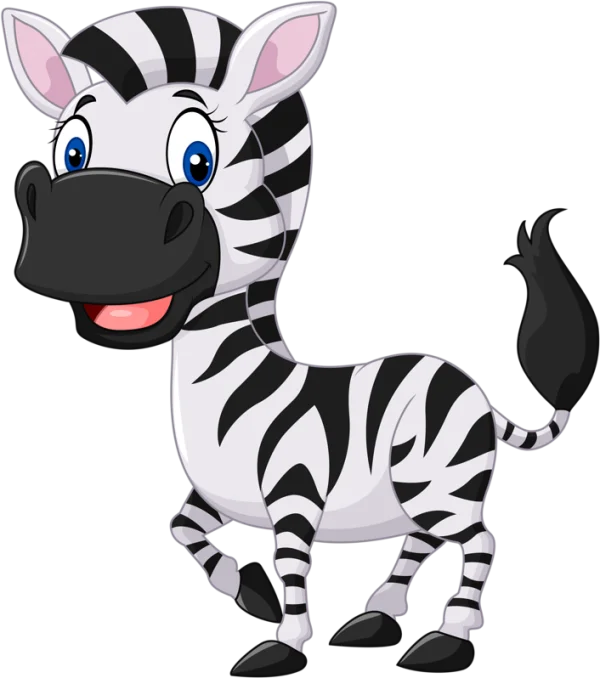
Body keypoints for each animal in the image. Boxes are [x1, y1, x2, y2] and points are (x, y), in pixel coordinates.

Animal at [3, 3, 598, 675]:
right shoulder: (214, 497)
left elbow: (294, 570)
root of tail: (476, 391)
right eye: (72, 150)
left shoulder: (294, 492)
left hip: (437, 482)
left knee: (479, 541)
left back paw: (449, 637)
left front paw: (283, 646)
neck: (222, 385)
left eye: (197, 160)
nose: (80, 245)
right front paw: (250, 592)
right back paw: (376, 617)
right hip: (423, 489)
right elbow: (182, 529)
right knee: (424, 540)